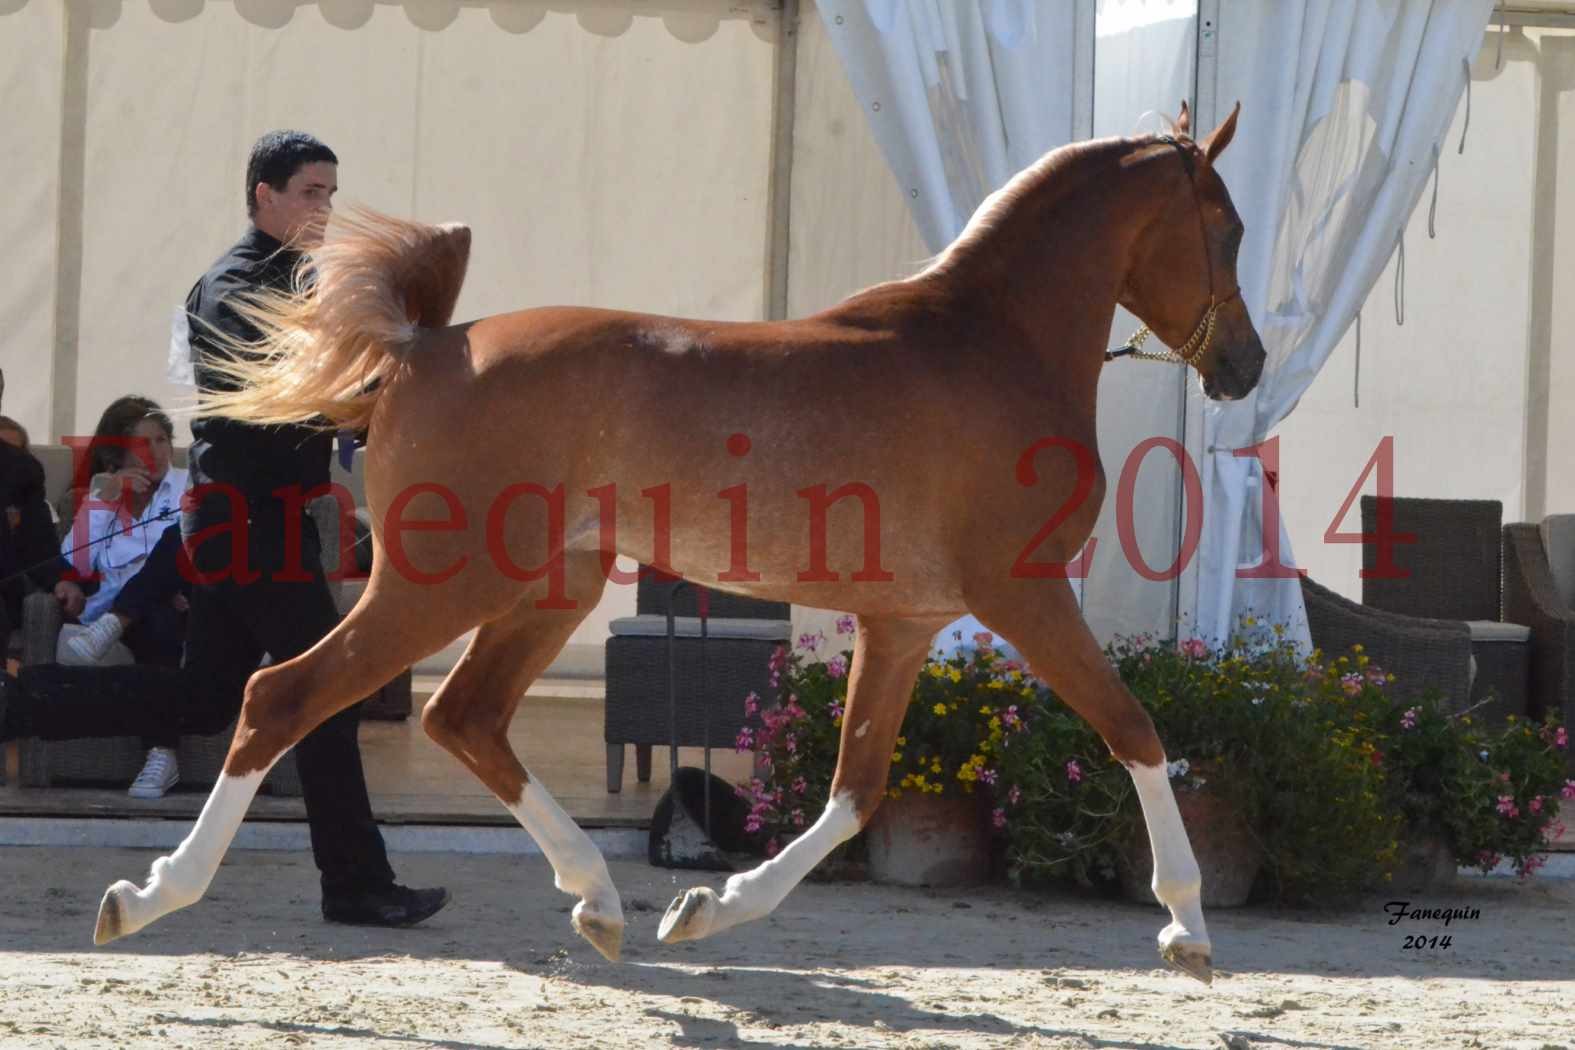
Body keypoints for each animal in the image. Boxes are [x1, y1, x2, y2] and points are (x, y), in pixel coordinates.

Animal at [95, 102, 1253, 982]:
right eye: (1228, 228)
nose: (1243, 365)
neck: (989, 344)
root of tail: (424, 346)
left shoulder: (905, 621)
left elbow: (854, 790)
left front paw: (707, 907)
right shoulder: (1025, 594)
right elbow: (1135, 729)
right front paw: (1187, 928)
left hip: (543, 590)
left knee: (464, 718)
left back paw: (601, 903)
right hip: (441, 586)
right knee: (281, 697)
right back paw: (149, 896)